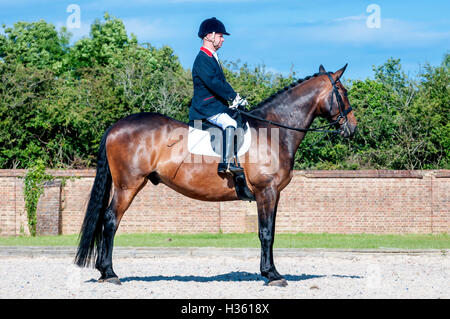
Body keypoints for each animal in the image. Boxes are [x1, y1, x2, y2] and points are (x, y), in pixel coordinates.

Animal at [75, 63, 356, 286]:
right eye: (343, 92)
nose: (352, 128)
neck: (273, 130)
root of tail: (116, 126)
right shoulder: (266, 190)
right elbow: (266, 233)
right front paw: (272, 275)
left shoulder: (272, 193)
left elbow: (270, 232)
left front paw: (270, 272)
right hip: (128, 185)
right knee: (111, 220)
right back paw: (110, 273)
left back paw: (105, 272)